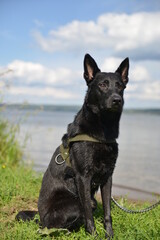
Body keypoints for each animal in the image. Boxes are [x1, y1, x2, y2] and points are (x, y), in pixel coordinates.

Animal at [15, 53, 129, 239]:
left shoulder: (107, 177)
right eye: (103, 84)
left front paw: (109, 235)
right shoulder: (83, 177)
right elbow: (88, 214)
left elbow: (107, 212)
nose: (117, 100)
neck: (102, 132)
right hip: (74, 204)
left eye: (120, 86)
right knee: (57, 225)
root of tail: (40, 218)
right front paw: (93, 235)